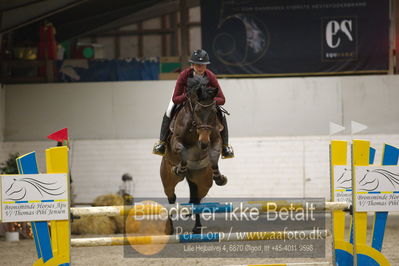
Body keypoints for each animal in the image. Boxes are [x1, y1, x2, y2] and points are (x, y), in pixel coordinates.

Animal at [160, 80, 228, 233]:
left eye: (213, 112)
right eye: (196, 111)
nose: (203, 142)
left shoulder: (215, 139)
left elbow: (214, 154)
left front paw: (219, 177)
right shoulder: (176, 140)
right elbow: (181, 150)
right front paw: (179, 168)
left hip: (202, 181)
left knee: (196, 200)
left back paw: (197, 227)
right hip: (168, 180)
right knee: (171, 198)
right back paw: (170, 228)